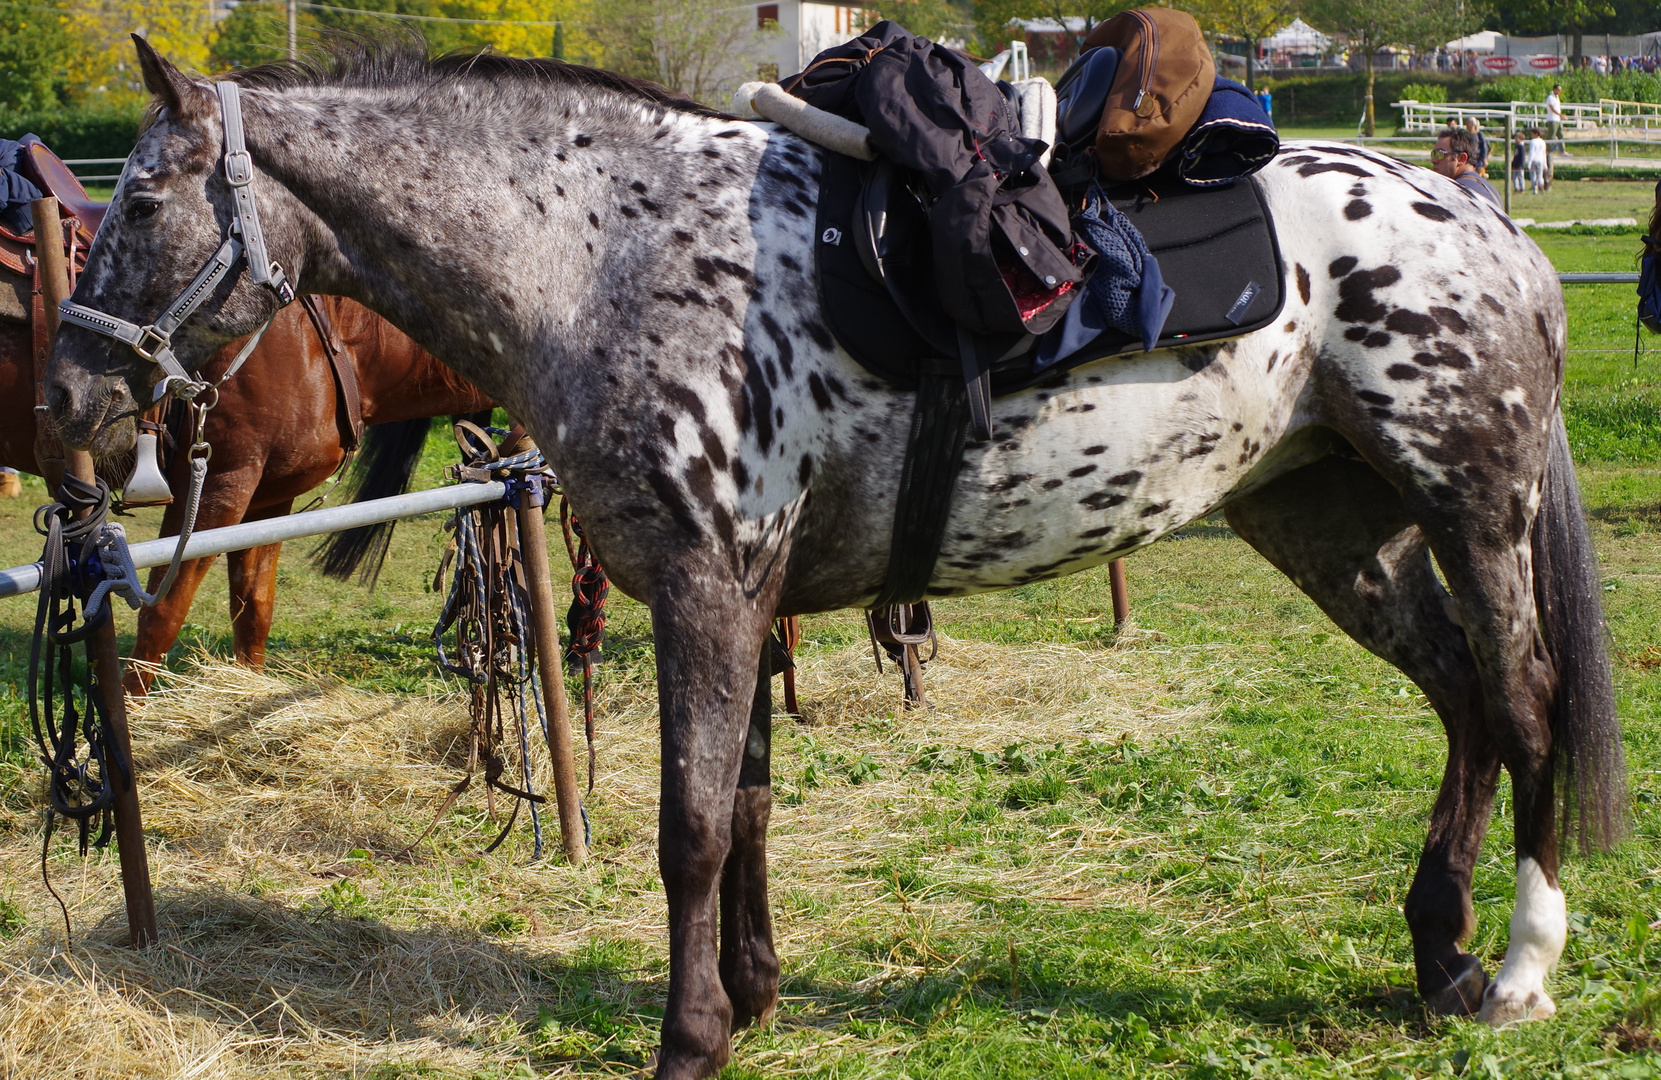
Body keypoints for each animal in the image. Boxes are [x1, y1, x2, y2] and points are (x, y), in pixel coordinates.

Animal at [48, 37, 1621, 1070]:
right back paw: (1436, 949)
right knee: (1461, 699)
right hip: (1328, 525)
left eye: (138, 201)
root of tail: (1483, 219)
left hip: (1472, 510)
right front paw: (750, 996)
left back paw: (1519, 968)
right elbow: (743, 804)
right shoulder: (742, 596)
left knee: (1524, 702)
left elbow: (687, 826)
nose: (67, 402)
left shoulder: (704, 589)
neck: (603, 254)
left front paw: (688, 1037)